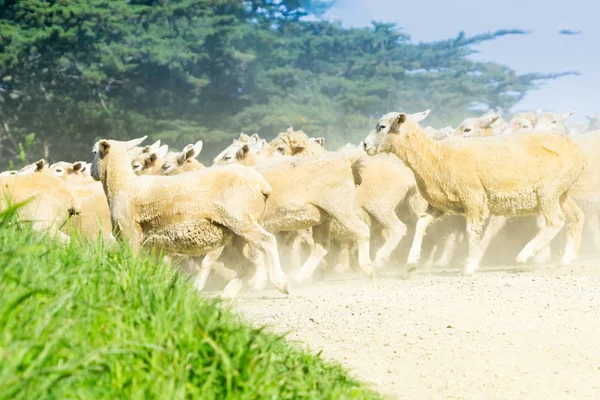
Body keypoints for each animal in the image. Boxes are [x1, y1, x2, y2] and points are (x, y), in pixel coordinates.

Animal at [89, 136, 290, 298]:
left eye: (94, 152)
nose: (90, 172)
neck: (122, 184)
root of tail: (263, 185)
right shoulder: (157, 243)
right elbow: (161, 268)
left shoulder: (130, 230)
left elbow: (131, 262)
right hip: (237, 233)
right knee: (249, 262)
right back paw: (226, 294)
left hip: (239, 218)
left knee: (267, 241)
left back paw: (280, 283)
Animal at [360, 111, 584, 276]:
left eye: (382, 127)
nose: (364, 144)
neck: (436, 156)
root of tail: (572, 146)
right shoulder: (439, 205)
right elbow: (421, 223)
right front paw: (412, 262)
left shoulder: (473, 198)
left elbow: (472, 230)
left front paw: (470, 265)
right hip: (560, 193)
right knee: (576, 216)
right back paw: (567, 257)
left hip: (548, 190)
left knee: (555, 222)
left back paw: (526, 253)